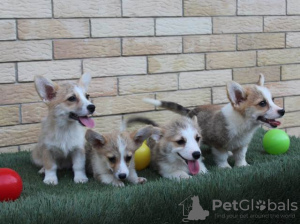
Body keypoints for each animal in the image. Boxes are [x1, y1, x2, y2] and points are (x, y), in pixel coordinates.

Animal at [144, 75, 284, 168]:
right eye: (262, 103)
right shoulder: (218, 144)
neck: (243, 124)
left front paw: (242, 166)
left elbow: (240, 156)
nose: (282, 111)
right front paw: (225, 167)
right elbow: (221, 157)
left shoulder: (242, 144)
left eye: (272, 100)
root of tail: (191, 111)